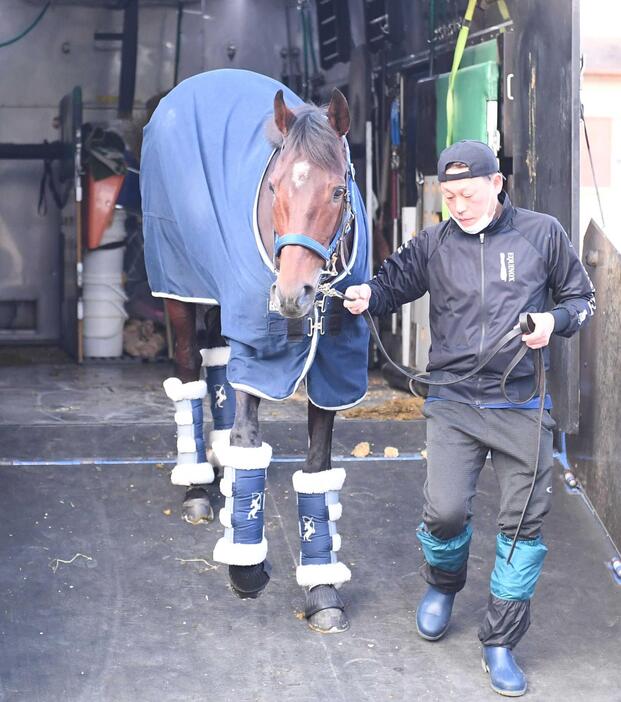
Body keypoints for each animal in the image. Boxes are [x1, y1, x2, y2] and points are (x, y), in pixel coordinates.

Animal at [139, 69, 368, 636]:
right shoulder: (259, 354)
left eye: (338, 189)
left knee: (219, 363)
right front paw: (246, 566)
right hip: (180, 288)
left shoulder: (337, 365)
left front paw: (322, 588)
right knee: (189, 375)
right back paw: (198, 488)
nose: (290, 297)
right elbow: (249, 441)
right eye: (274, 187)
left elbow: (318, 466)